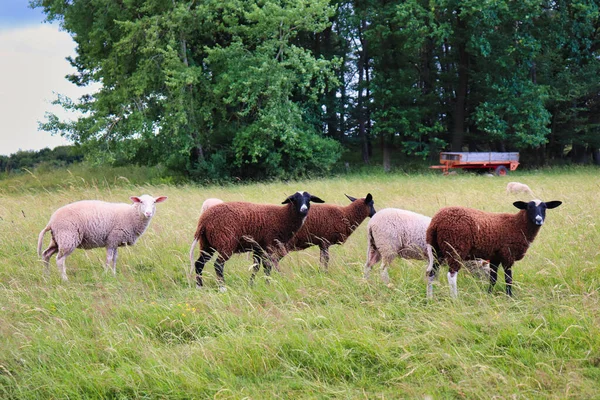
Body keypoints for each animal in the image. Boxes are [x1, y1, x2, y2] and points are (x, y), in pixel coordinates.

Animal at [37, 195, 169, 280]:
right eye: (141, 201)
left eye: (154, 202)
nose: (148, 213)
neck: (131, 215)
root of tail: (51, 221)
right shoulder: (112, 239)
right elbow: (109, 259)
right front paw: (105, 274)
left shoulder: (116, 242)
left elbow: (115, 259)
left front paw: (114, 274)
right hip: (68, 237)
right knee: (59, 260)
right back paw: (64, 279)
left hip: (57, 240)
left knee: (46, 254)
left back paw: (46, 276)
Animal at [191, 191, 324, 290]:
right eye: (294, 199)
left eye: (309, 199)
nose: (304, 209)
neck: (282, 217)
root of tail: (204, 220)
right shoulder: (269, 245)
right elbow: (267, 266)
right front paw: (268, 283)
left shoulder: (258, 248)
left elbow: (256, 266)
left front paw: (251, 284)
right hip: (225, 242)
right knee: (218, 265)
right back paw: (222, 288)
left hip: (207, 244)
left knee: (199, 263)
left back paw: (199, 287)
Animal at [426, 199, 564, 296]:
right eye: (529, 207)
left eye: (545, 207)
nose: (539, 220)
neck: (517, 225)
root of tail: (436, 221)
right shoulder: (508, 255)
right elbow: (508, 279)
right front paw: (510, 297)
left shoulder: (495, 257)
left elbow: (493, 279)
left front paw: (489, 294)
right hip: (455, 248)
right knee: (451, 275)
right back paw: (455, 299)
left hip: (436, 250)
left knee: (431, 273)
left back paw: (430, 298)